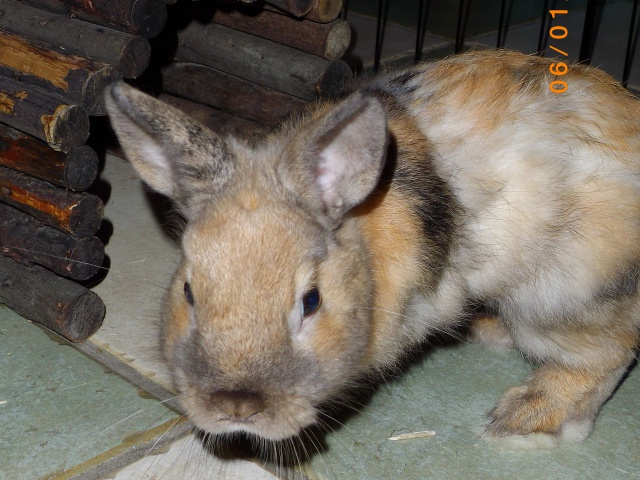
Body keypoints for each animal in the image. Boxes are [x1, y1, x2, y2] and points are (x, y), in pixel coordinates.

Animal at [105, 49, 640, 446]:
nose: (236, 406)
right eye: (189, 293)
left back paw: (523, 417)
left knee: (606, 356)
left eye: (311, 302)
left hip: (556, 299)